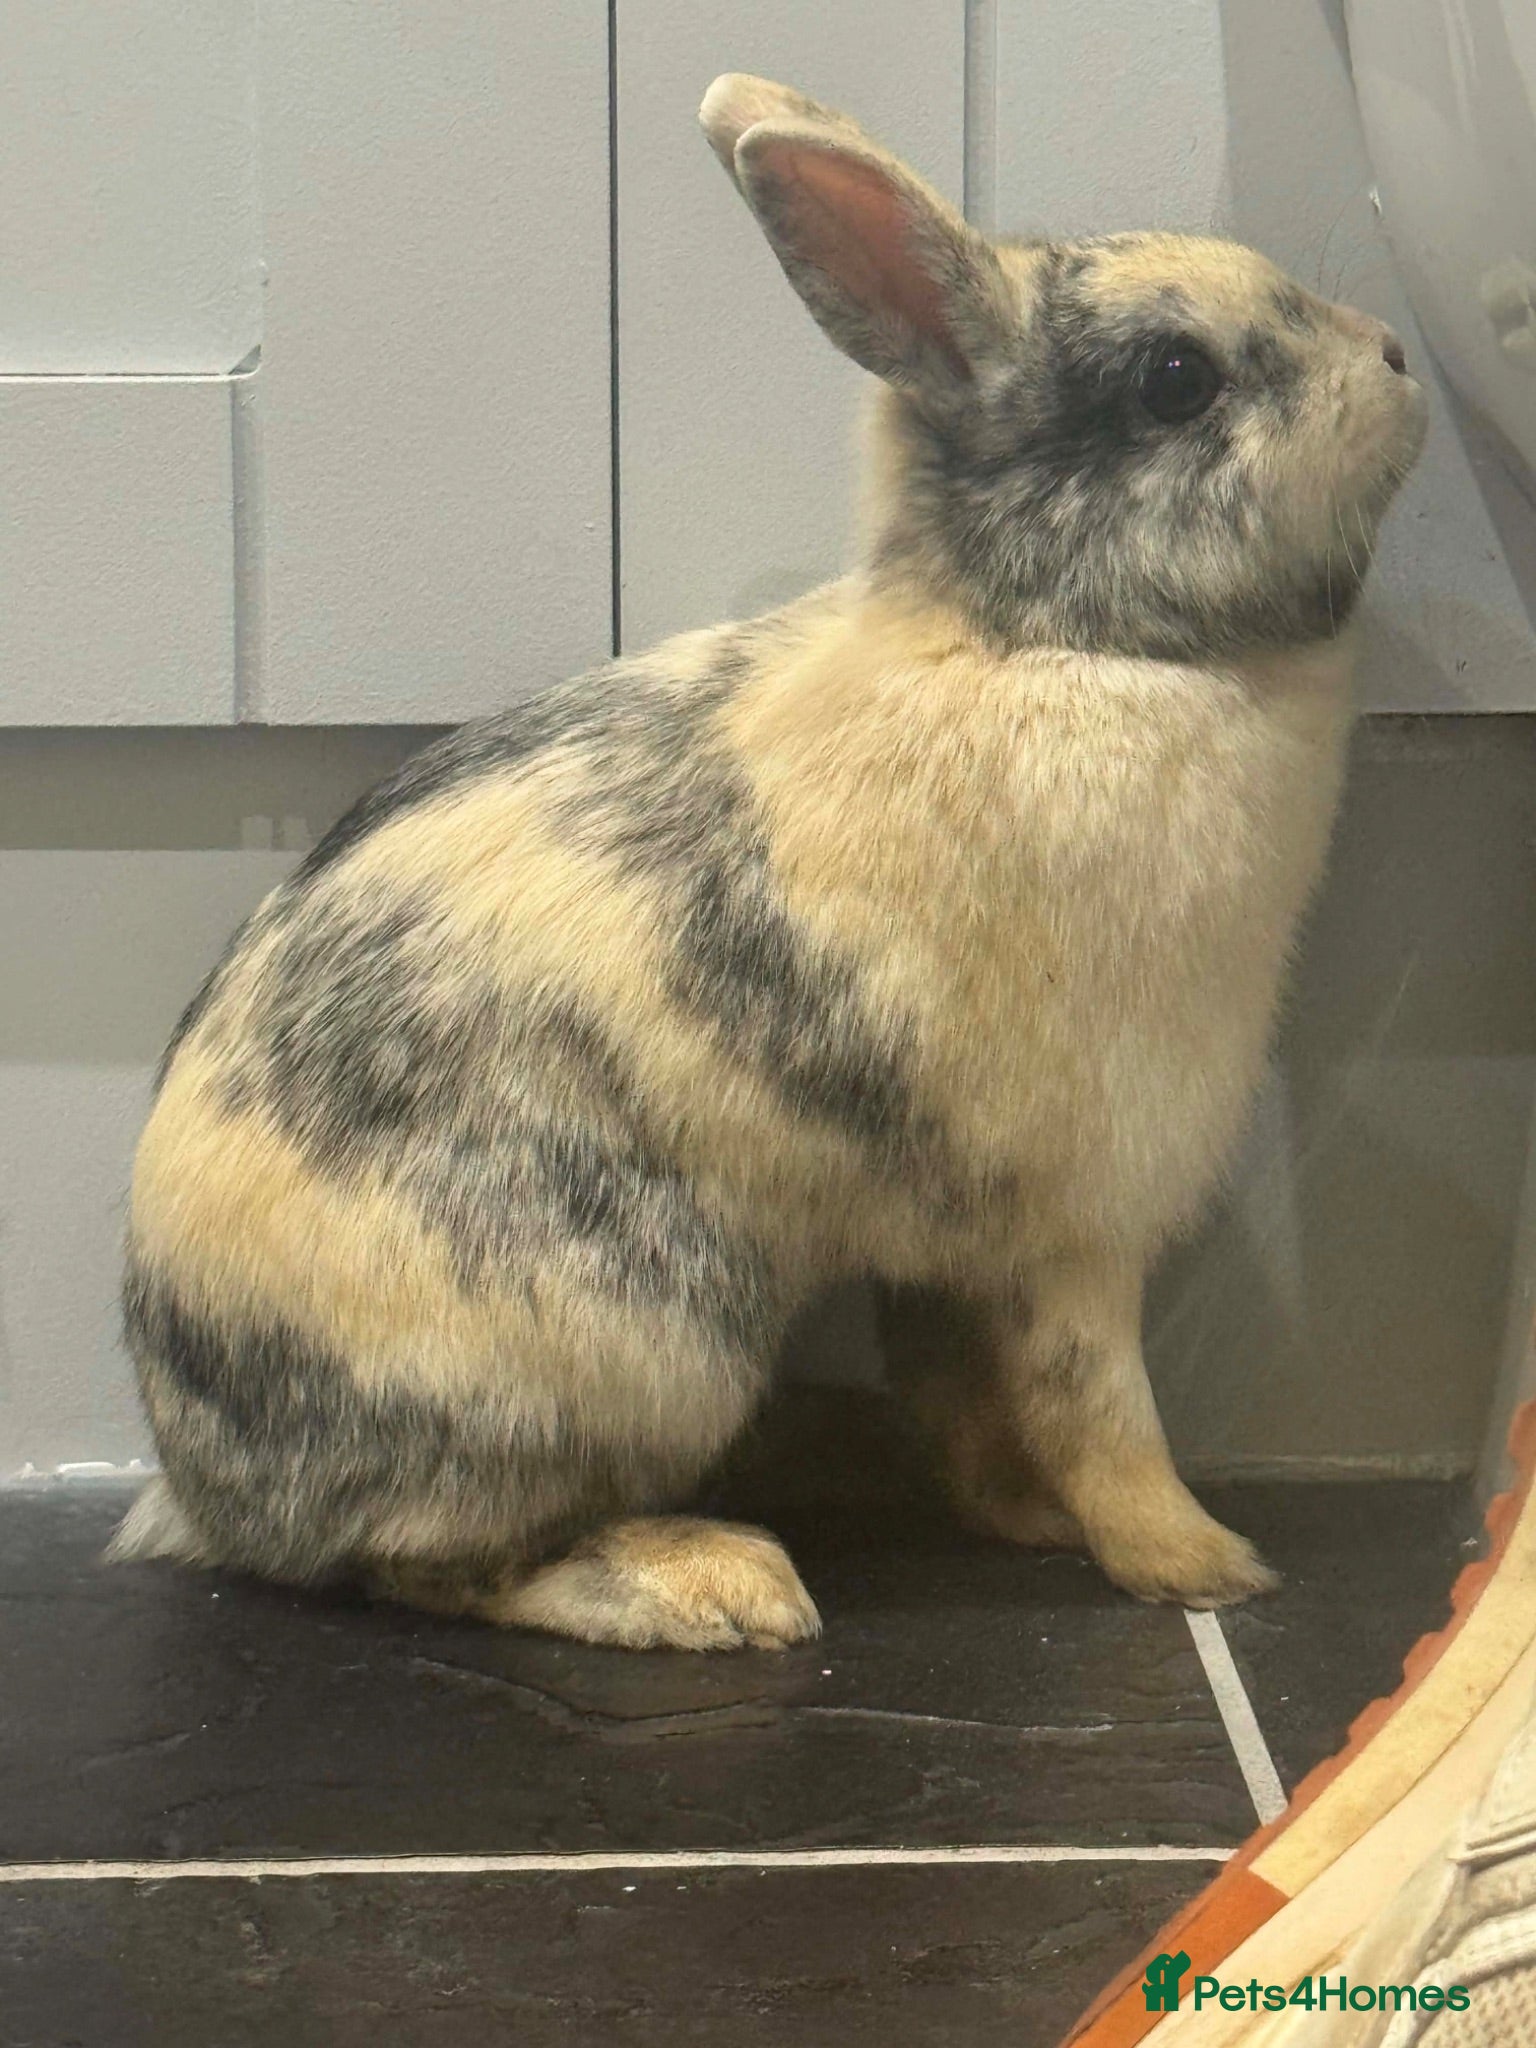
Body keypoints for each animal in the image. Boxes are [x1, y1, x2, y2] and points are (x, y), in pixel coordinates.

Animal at [108, 73, 1426, 1651]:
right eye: (1178, 377)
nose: (1400, 359)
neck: (1047, 637)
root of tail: (206, 1479)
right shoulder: (1080, 1218)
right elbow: (1098, 1404)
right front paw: (1201, 1562)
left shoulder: (958, 1251)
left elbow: (968, 1393)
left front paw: (1028, 1522)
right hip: (645, 1340)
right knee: (432, 1559)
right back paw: (714, 1583)